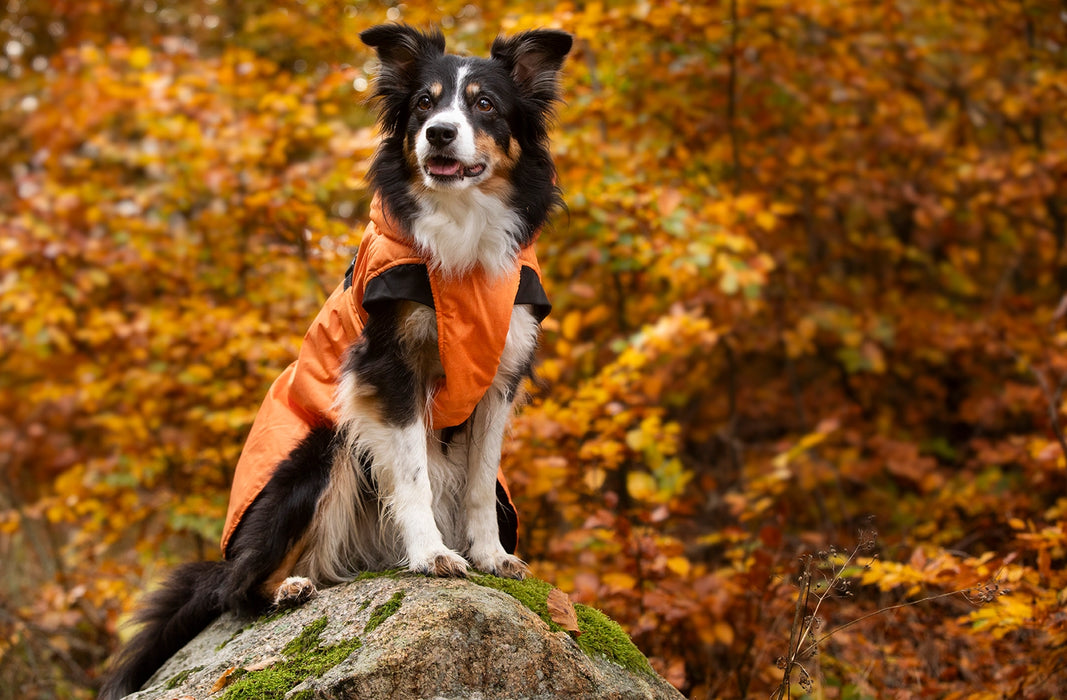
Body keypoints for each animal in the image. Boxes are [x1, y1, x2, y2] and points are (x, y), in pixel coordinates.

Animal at [100, 23, 571, 700]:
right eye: (424, 104)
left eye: (485, 105)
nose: (438, 134)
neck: (461, 241)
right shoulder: (386, 371)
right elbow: (413, 474)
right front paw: (432, 555)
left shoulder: (498, 377)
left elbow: (481, 481)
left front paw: (490, 556)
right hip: (318, 451)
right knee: (237, 589)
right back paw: (288, 588)